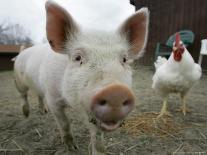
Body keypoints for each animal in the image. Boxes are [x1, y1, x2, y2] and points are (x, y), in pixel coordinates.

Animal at [13, 0, 149, 154]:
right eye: (77, 57)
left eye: (124, 59)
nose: (116, 91)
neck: (70, 104)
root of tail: (22, 52)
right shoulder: (53, 98)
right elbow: (65, 124)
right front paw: (72, 148)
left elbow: (97, 136)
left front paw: (100, 151)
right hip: (18, 80)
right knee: (23, 95)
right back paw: (26, 115)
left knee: (38, 95)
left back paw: (43, 112)